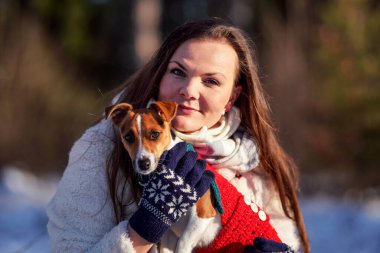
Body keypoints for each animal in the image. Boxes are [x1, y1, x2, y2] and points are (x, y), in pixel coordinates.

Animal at [105, 100, 221, 252]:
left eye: (155, 134)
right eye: (128, 137)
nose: (143, 163)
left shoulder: (203, 213)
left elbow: (183, 242)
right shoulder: (168, 234)